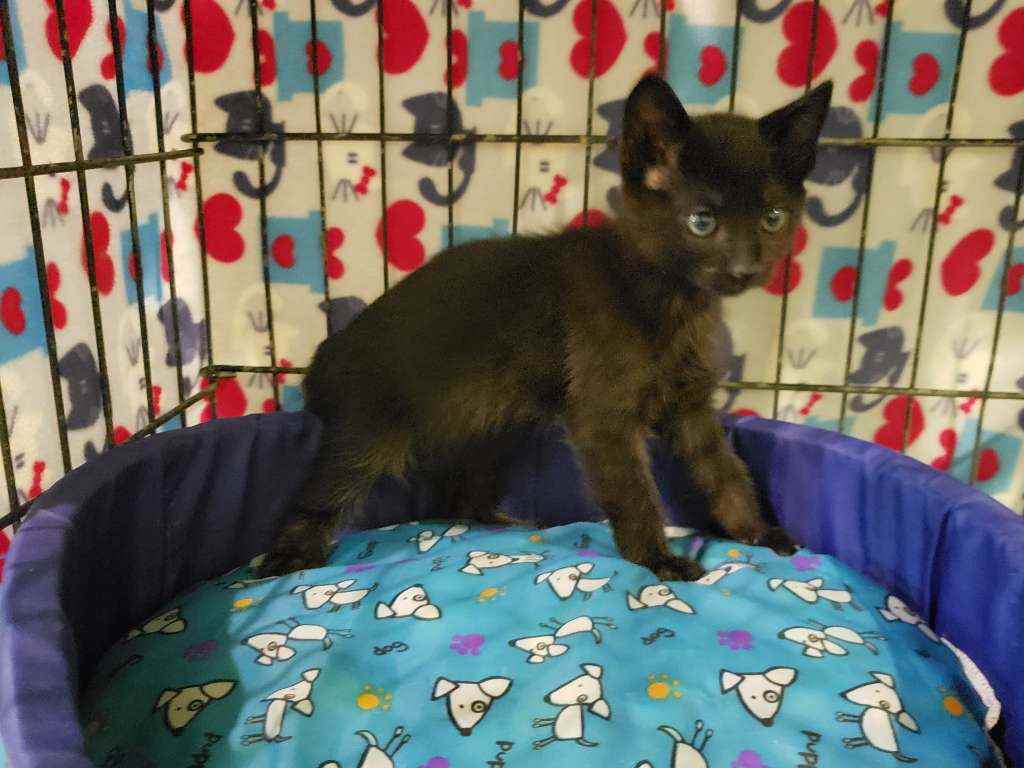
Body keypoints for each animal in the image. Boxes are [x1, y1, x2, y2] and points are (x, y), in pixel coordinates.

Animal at [259, 75, 832, 581]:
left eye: (774, 218)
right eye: (702, 222)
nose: (745, 269)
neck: (669, 298)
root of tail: (328, 354)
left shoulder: (690, 406)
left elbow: (725, 471)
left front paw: (756, 532)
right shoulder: (602, 417)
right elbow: (635, 492)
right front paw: (656, 560)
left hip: (484, 423)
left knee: (455, 493)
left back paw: (497, 523)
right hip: (369, 430)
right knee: (320, 494)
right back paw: (284, 561)